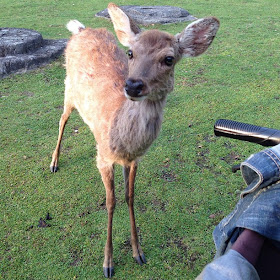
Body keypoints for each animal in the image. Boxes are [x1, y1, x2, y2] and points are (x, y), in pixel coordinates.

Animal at [50, 2, 220, 278]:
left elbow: (130, 197)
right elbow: (110, 202)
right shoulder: (102, 157)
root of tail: (81, 30)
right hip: (69, 90)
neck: (125, 142)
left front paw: (138, 251)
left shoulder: (136, 160)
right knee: (62, 119)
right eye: (130, 53)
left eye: (169, 59)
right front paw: (108, 262)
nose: (132, 85)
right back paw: (54, 162)